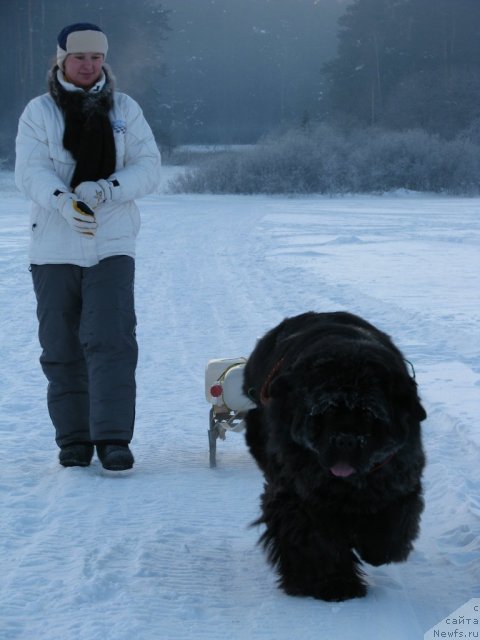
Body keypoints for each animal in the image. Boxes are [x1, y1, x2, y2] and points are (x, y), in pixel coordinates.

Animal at [244, 312, 428, 604]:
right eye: (326, 411)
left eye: (369, 414)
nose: (345, 439)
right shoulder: (298, 497)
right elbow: (314, 541)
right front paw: (334, 584)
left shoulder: (397, 476)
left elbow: (391, 522)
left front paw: (377, 549)